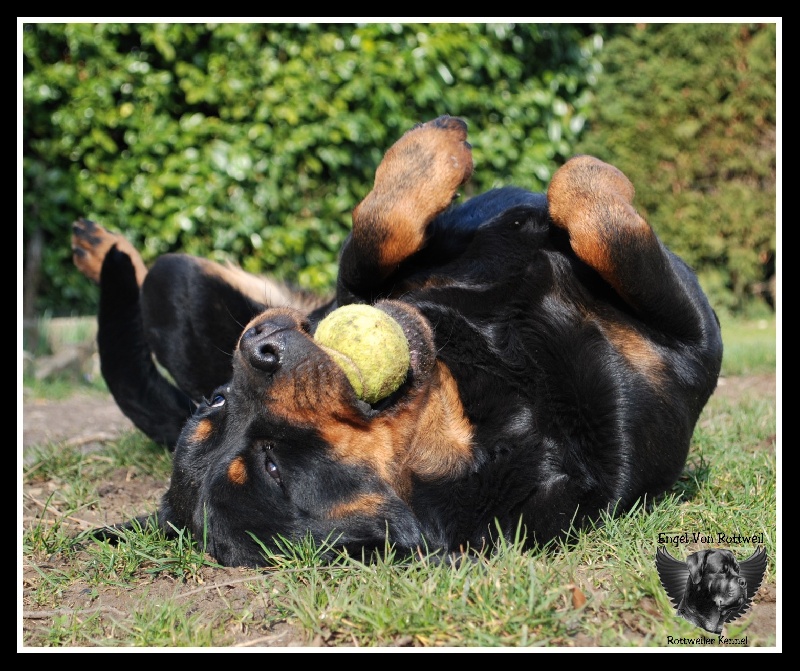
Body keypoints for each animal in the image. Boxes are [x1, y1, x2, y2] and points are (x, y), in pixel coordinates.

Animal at [72, 115, 724, 568]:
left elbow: (375, 235)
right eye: (272, 467)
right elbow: (595, 212)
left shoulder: (398, 268)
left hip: (180, 290)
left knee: (160, 275)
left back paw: (102, 246)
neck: (499, 380)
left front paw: (428, 152)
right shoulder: (691, 347)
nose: (258, 348)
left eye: (217, 403)